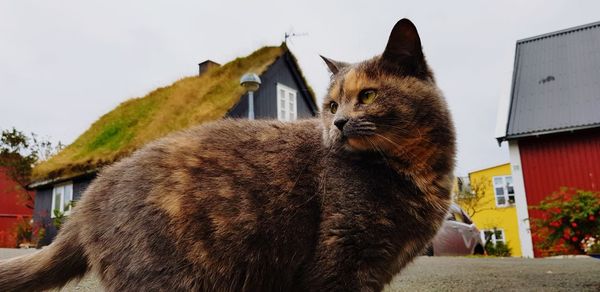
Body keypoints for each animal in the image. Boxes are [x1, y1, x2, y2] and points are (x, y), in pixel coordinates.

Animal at [0, 18, 452, 292]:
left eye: (368, 96)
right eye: (331, 104)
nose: (338, 123)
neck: (418, 173)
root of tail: (90, 196)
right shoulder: (338, 262)